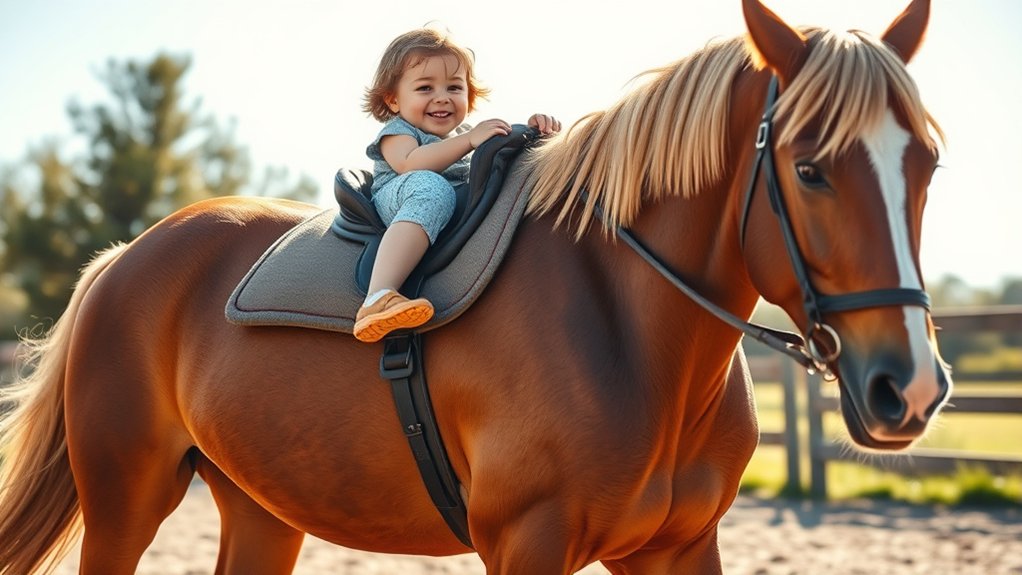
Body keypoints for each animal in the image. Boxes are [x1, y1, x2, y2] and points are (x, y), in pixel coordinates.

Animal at [0, 0, 952, 573]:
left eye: (927, 164)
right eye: (810, 169)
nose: (908, 389)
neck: (627, 325)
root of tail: (125, 258)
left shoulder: (682, 547)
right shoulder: (527, 542)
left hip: (261, 507)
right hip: (126, 499)